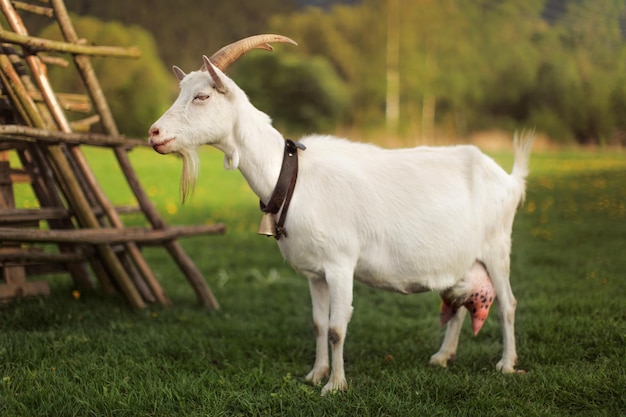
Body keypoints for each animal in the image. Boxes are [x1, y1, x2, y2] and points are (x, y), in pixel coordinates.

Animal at [147, 35, 532, 394]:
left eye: (202, 97)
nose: (154, 133)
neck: (292, 176)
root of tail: (509, 179)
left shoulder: (340, 264)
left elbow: (336, 327)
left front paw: (335, 385)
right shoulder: (314, 273)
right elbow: (318, 324)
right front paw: (316, 374)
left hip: (497, 247)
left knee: (508, 303)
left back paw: (506, 364)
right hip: (464, 259)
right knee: (461, 302)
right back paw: (442, 356)